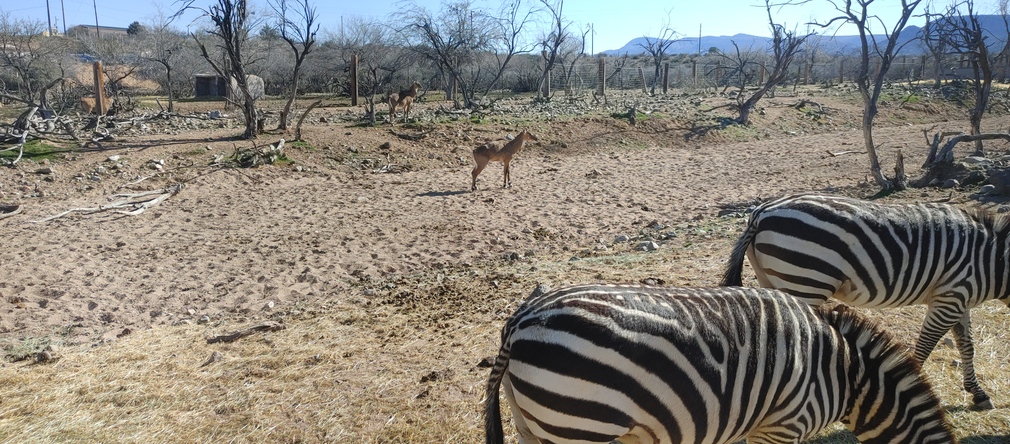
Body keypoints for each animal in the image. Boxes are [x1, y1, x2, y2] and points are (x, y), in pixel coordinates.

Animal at [721, 192, 1010, 410]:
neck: (991, 261)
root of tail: (761, 212)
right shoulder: (951, 296)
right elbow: (925, 346)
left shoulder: (959, 299)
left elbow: (967, 345)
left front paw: (978, 393)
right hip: (804, 280)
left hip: (774, 280)